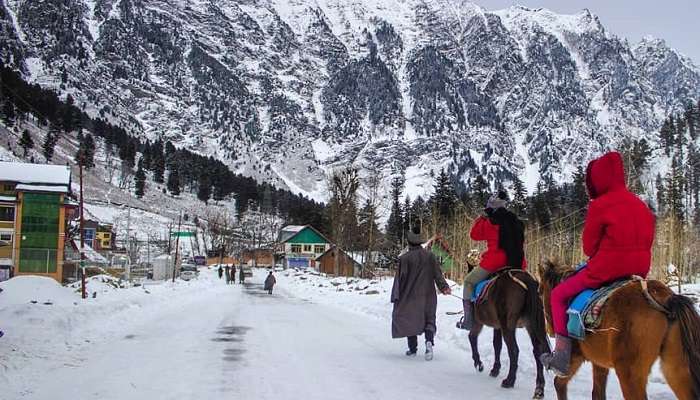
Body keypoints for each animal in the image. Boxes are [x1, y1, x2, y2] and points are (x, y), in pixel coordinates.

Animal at [468, 264, 548, 398]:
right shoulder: (498, 327)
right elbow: (497, 345)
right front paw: (495, 369)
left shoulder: (478, 322)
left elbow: (473, 337)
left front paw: (478, 363)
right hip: (531, 325)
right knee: (538, 351)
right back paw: (539, 388)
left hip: (508, 326)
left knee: (514, 350)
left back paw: (509, 380)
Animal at [540, 260, 700, 398]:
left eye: (540, 291)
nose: (550, 331)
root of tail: (665, 299)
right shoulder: (599, 363)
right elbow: (597, 393)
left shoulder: (575, 357)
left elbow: (559, 384)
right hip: (676, 369)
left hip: (629, 374)